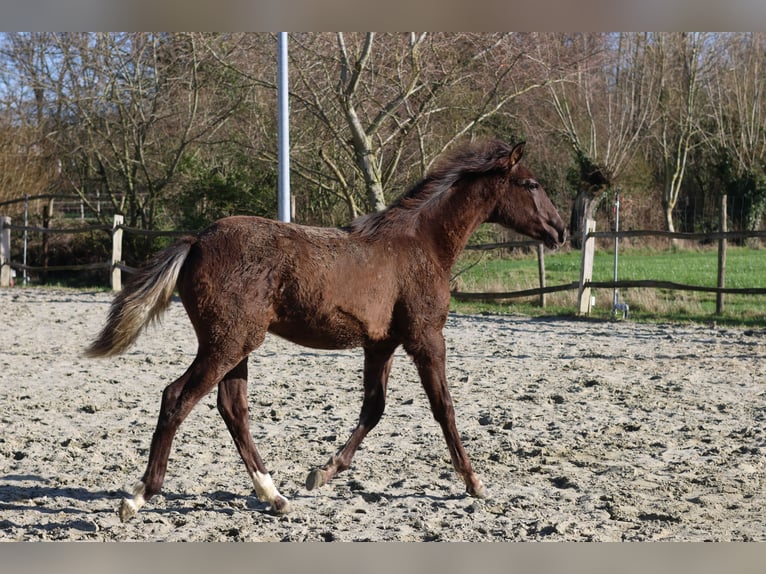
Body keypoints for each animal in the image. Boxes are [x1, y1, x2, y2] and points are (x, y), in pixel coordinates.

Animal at [85, 139, 566, 521]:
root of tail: (197, 240)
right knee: (177, 398)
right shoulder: (426, 338)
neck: (420, 244)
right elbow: (444, 408)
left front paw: (321, 472)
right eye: (531, 184)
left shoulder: (381, 344)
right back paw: (138, 497)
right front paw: (474, 482)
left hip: (237, 346)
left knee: (232, 408)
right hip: (227, 343)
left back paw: (275, 496)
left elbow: (374, 409)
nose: (560, 231)